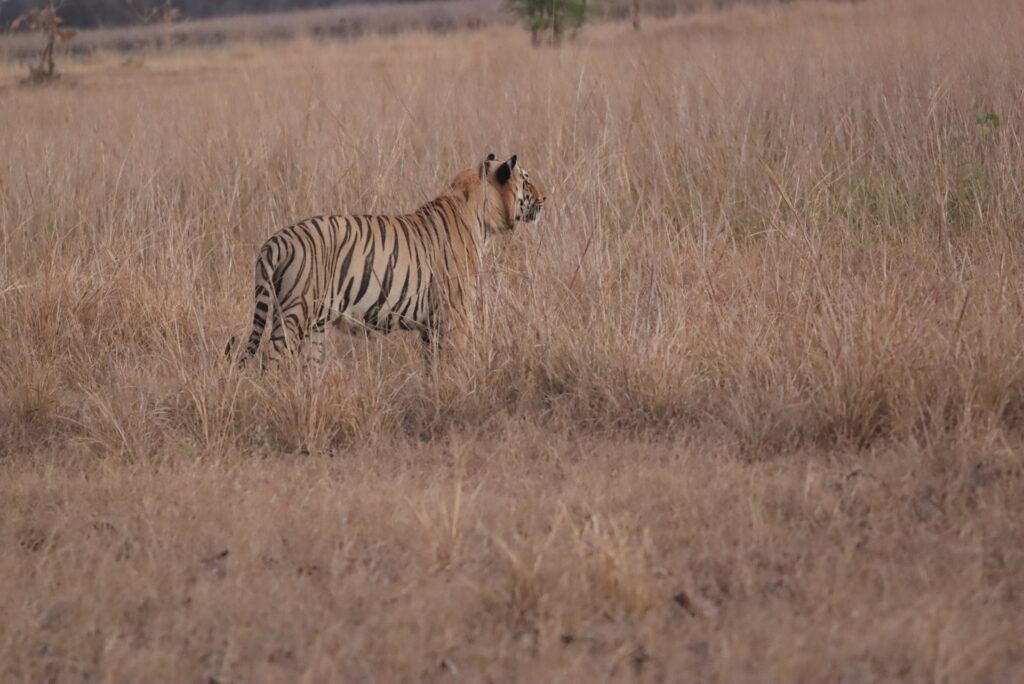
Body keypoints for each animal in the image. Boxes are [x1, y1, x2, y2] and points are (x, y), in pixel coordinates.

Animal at [225, 153, 546, 367]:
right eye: (526, 179)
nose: (546, 197)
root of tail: (275, 241)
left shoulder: (431, 323)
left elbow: (432, 364)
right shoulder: (456, 310)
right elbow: (456, 355)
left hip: (313, 324)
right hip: (294, 312)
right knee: (271, 360)